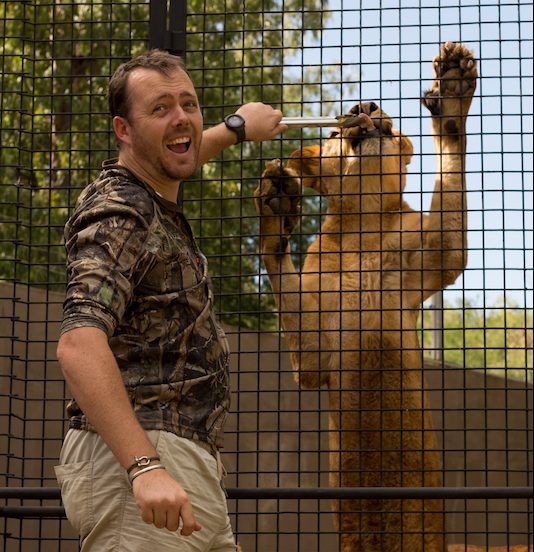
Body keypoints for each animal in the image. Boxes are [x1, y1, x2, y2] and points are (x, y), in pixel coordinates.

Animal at [255, 41, 482, 548]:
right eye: (336, 129)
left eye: (385, 118)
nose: (365, 107)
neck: (362, 230)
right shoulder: (314, 353)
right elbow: (283, 278)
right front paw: (277, 207)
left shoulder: (438, 252)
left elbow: (450, 153)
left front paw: (452, 90)